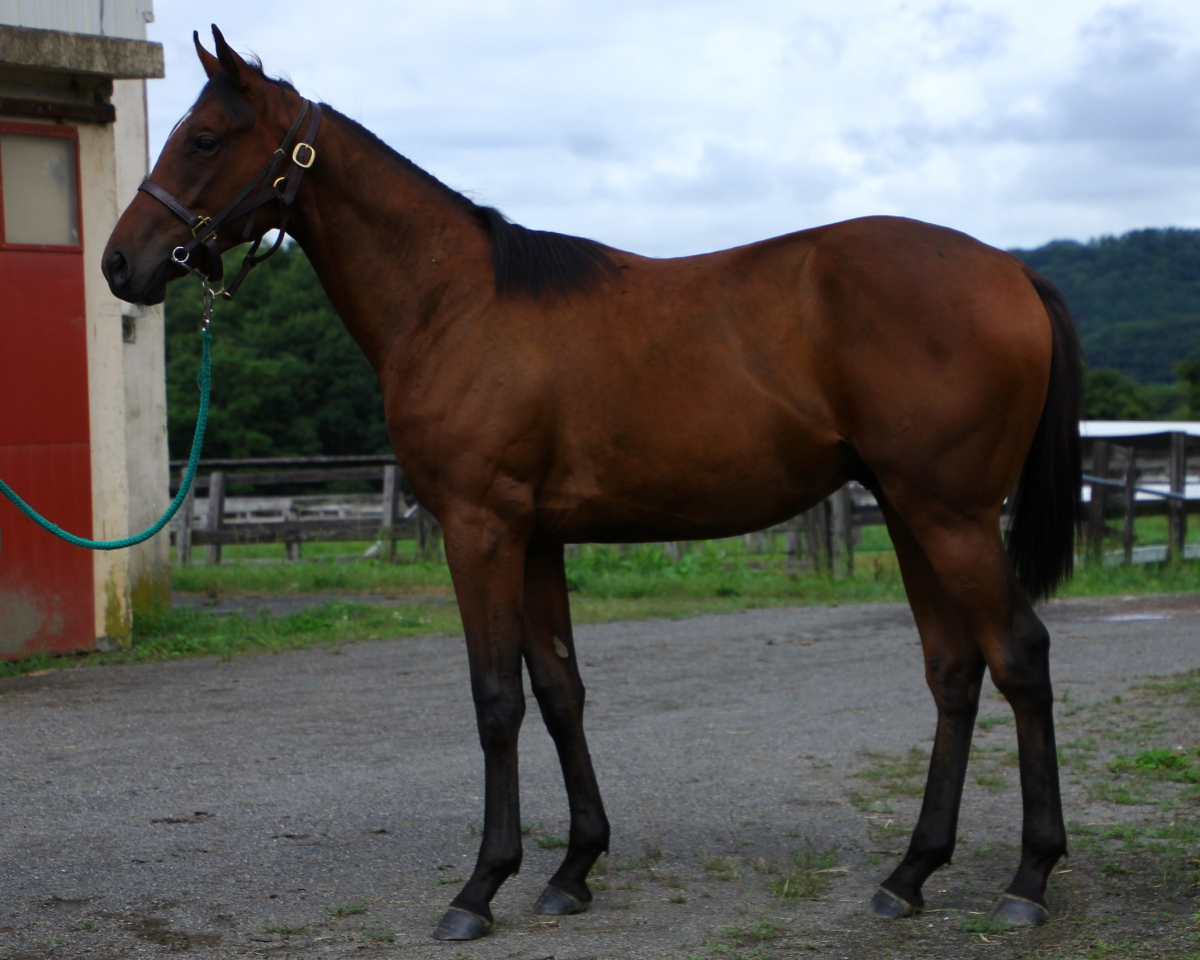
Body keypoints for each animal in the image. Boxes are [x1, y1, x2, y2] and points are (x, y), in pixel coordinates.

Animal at [103, 27, 1082, 942]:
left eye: (204, 138)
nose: (120, 265)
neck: (454, 303)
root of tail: (1009, 268)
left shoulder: (480, 529)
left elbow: (496, 698)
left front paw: (480, 886)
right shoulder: (535, 536)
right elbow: (558, 691)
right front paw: (571, 869)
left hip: (952, 516)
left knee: (1020, 656)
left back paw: (1028, 879)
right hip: (912, 512)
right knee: (954, 670)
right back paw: (909, 873)